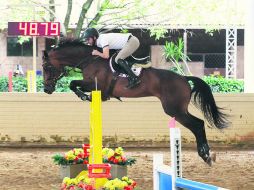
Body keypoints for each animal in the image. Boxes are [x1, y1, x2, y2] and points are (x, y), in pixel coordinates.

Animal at [41, 38, 228, 165]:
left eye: (46, 67)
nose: (47, 89)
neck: (89, 60)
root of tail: (183, 78)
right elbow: (73, 84)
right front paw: (84, 96)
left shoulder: (96, 86)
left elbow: (73, 83)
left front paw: (83, 96)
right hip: (178, 109)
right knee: (198, 124)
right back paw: (206, 154)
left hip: (174, 110)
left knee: (197, 124)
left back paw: (205, 155)